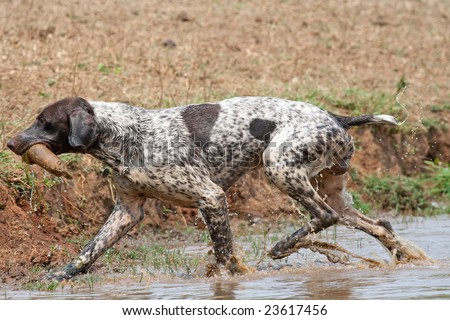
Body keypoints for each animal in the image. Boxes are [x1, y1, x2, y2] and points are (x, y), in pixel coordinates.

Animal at [7, 96, 428, 278]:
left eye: (44, 122)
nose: (10, 142)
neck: (126, 136)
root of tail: (336, 117)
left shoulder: (210, 197)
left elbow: (224, 254)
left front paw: (227, 276)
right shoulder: (127, 212)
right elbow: (88, 252)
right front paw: (58, 277)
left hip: (280, 169)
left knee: (321, 217)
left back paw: (284, 245)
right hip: (332, 190)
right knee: (379, 225)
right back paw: (404, 255)